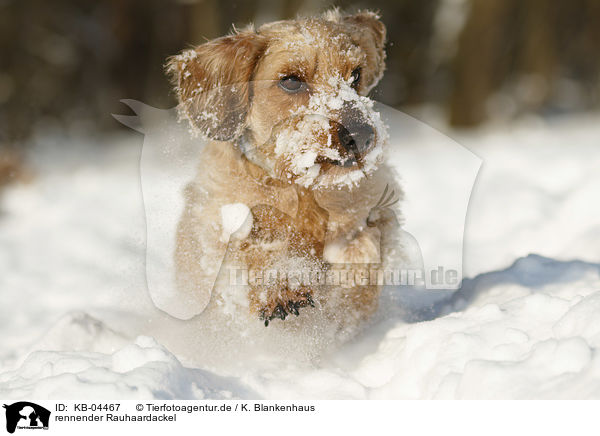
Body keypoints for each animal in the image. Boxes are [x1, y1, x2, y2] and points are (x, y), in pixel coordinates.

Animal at [166, 10, 406, 338]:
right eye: (291, 81)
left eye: (355, 75)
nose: (363, 135)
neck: (299, 185)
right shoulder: (220, 227)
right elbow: (254, 251)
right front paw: (282, 285)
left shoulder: (376, 208)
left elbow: (364, 245)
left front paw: (350, 276)